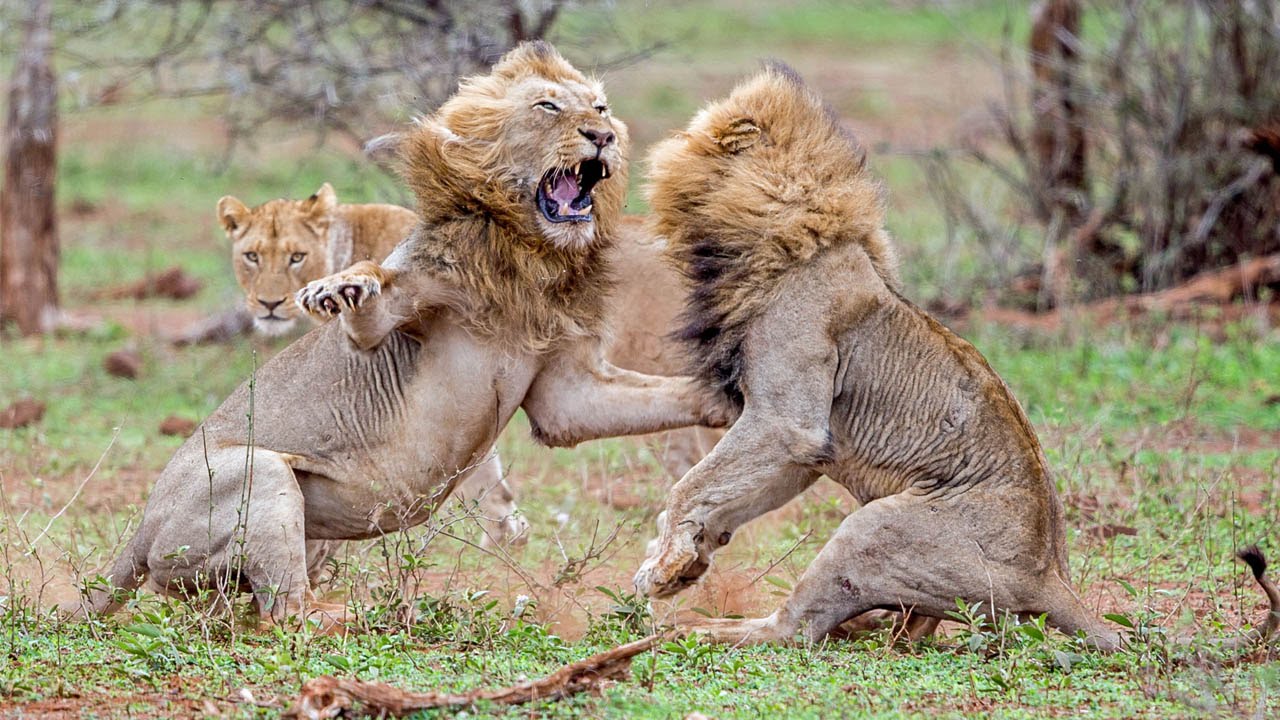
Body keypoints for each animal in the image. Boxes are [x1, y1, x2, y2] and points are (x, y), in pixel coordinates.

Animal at [67, 43, 732, 627]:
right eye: (548, 107)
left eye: (599, 106)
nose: (603, 137)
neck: (528, 253)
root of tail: (142, 529)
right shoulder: (395, 314)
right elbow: (368, 298)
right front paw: (337, 289)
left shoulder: (565, 392)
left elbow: (659, 394)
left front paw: (728, 401)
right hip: (262, 472)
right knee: (288, 613)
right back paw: (394, 613)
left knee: (254, 610)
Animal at [634, 65, 1274, 650]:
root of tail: (1051, 578)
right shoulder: (804, 449)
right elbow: (725, 494)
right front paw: (686, 562)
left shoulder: (787, 421)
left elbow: (690, 485)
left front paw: (661, 569)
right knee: (906, 628)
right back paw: (869, 626)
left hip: (873, 525)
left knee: (796, 630)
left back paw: (700, 630)